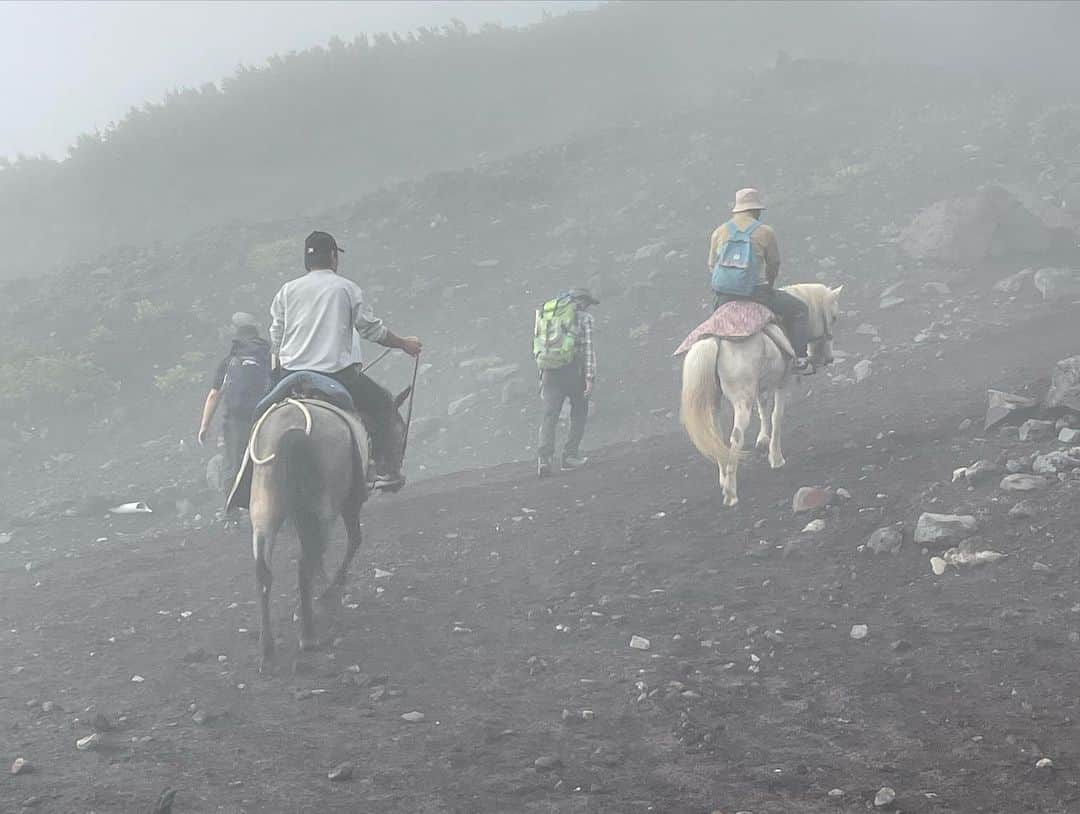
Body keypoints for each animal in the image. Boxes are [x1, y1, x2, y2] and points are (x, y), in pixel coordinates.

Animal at [247, 386, 410, 673]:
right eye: (399, 430)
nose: (396, 481)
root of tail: (291, 427)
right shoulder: (350, 503)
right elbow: (355, 540)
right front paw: (329, 593)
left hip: (265, 514)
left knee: (265, 571)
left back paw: (267, 651)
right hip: (325, 511)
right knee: (305, 564)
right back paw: (309, 635)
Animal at [673, 282, 842, 505]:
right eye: (834, 317)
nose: (828, 359)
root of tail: (716, 340)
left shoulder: (761, 385)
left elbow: (763, 408)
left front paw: (762, 441)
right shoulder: (782, 382)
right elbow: (777, 416)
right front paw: (776, 458)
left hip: (714, 402)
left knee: (716, 435)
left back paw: (724, 477)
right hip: (742, 401)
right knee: (736, 436)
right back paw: (731, 493)